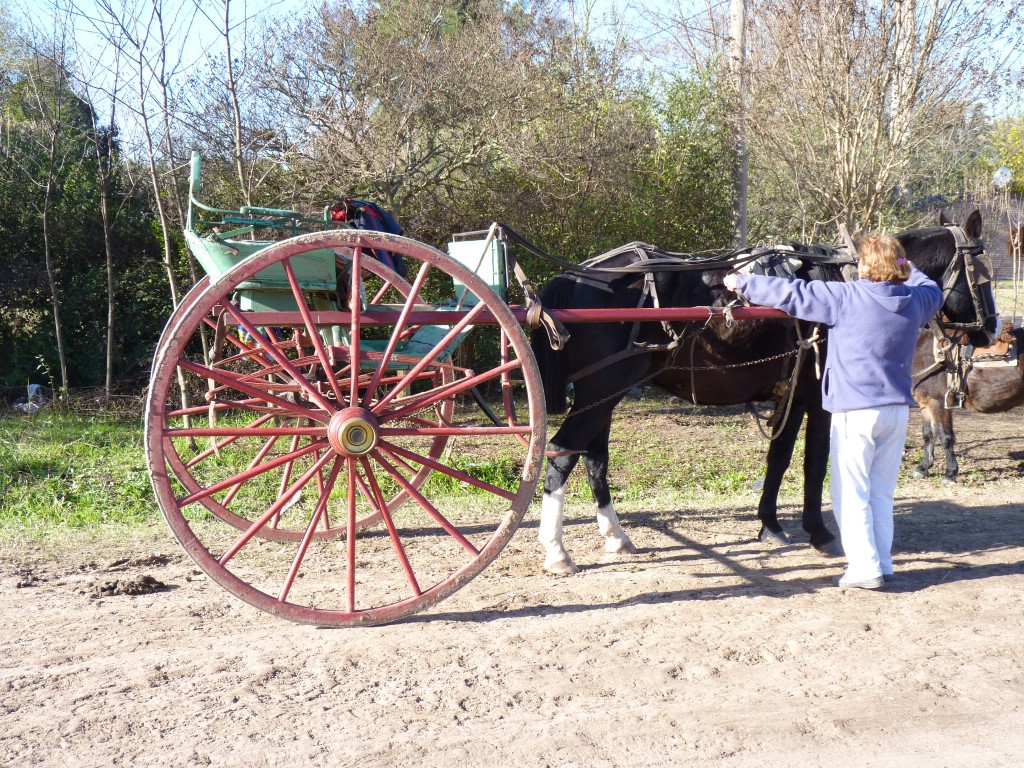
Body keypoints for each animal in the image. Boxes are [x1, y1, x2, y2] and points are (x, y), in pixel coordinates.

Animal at [530, 210, 998, 575]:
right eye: (984, 276)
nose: (992, 330)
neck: (847, 284)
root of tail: (578, 276)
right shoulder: (819, 401)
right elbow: (813, 465)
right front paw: (819, 532)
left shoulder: (792, 397)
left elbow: (780, 458)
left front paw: (770, 525)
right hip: (602, 391)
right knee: (561, 453)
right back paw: (556, 551)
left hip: (605, 394)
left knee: (594, 458)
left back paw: (615, 535)